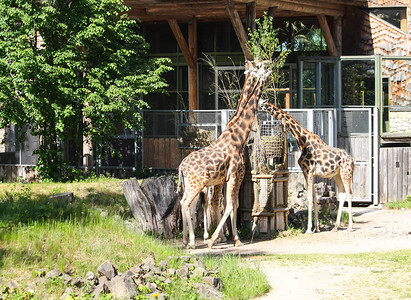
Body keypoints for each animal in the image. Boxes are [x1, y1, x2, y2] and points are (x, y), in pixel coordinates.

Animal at [177, 60, 270, 248]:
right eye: (261, 68)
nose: (268, 65)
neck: (239, 137)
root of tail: (181, 167)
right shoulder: (235, 174)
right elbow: (230, 205)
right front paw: (220, 238)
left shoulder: (226, 178)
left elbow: (230, 204)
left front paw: (233, 238)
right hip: (198, 183)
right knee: (188, 203)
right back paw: (193, 240)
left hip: (192, 184)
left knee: (187, 203)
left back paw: (187, 240)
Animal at [260, 102, 354, 233]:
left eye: (262, 103)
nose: (258, 105)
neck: (302, 140)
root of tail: (352, 160)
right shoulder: (308, 172)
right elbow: (314, 198)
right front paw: (317, 228)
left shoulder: (308, 171)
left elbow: (309, 199)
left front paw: (309, 229)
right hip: (337, 175)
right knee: (342, 194)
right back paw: (335, 227)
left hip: (346, 173)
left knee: (349, 194)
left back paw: (350, 227)